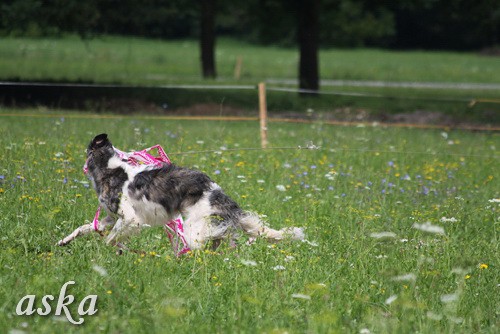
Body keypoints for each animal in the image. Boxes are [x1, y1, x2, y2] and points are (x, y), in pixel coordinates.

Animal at [56, 133, 302, 250]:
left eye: (88, 150)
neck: (111, 168)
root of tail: (217, 192)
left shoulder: (131, 219)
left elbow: (109, 240)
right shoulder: (110, 217)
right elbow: (85, 227)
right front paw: (64, 241)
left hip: (194, 227)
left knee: (210, 240)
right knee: (221, 238)